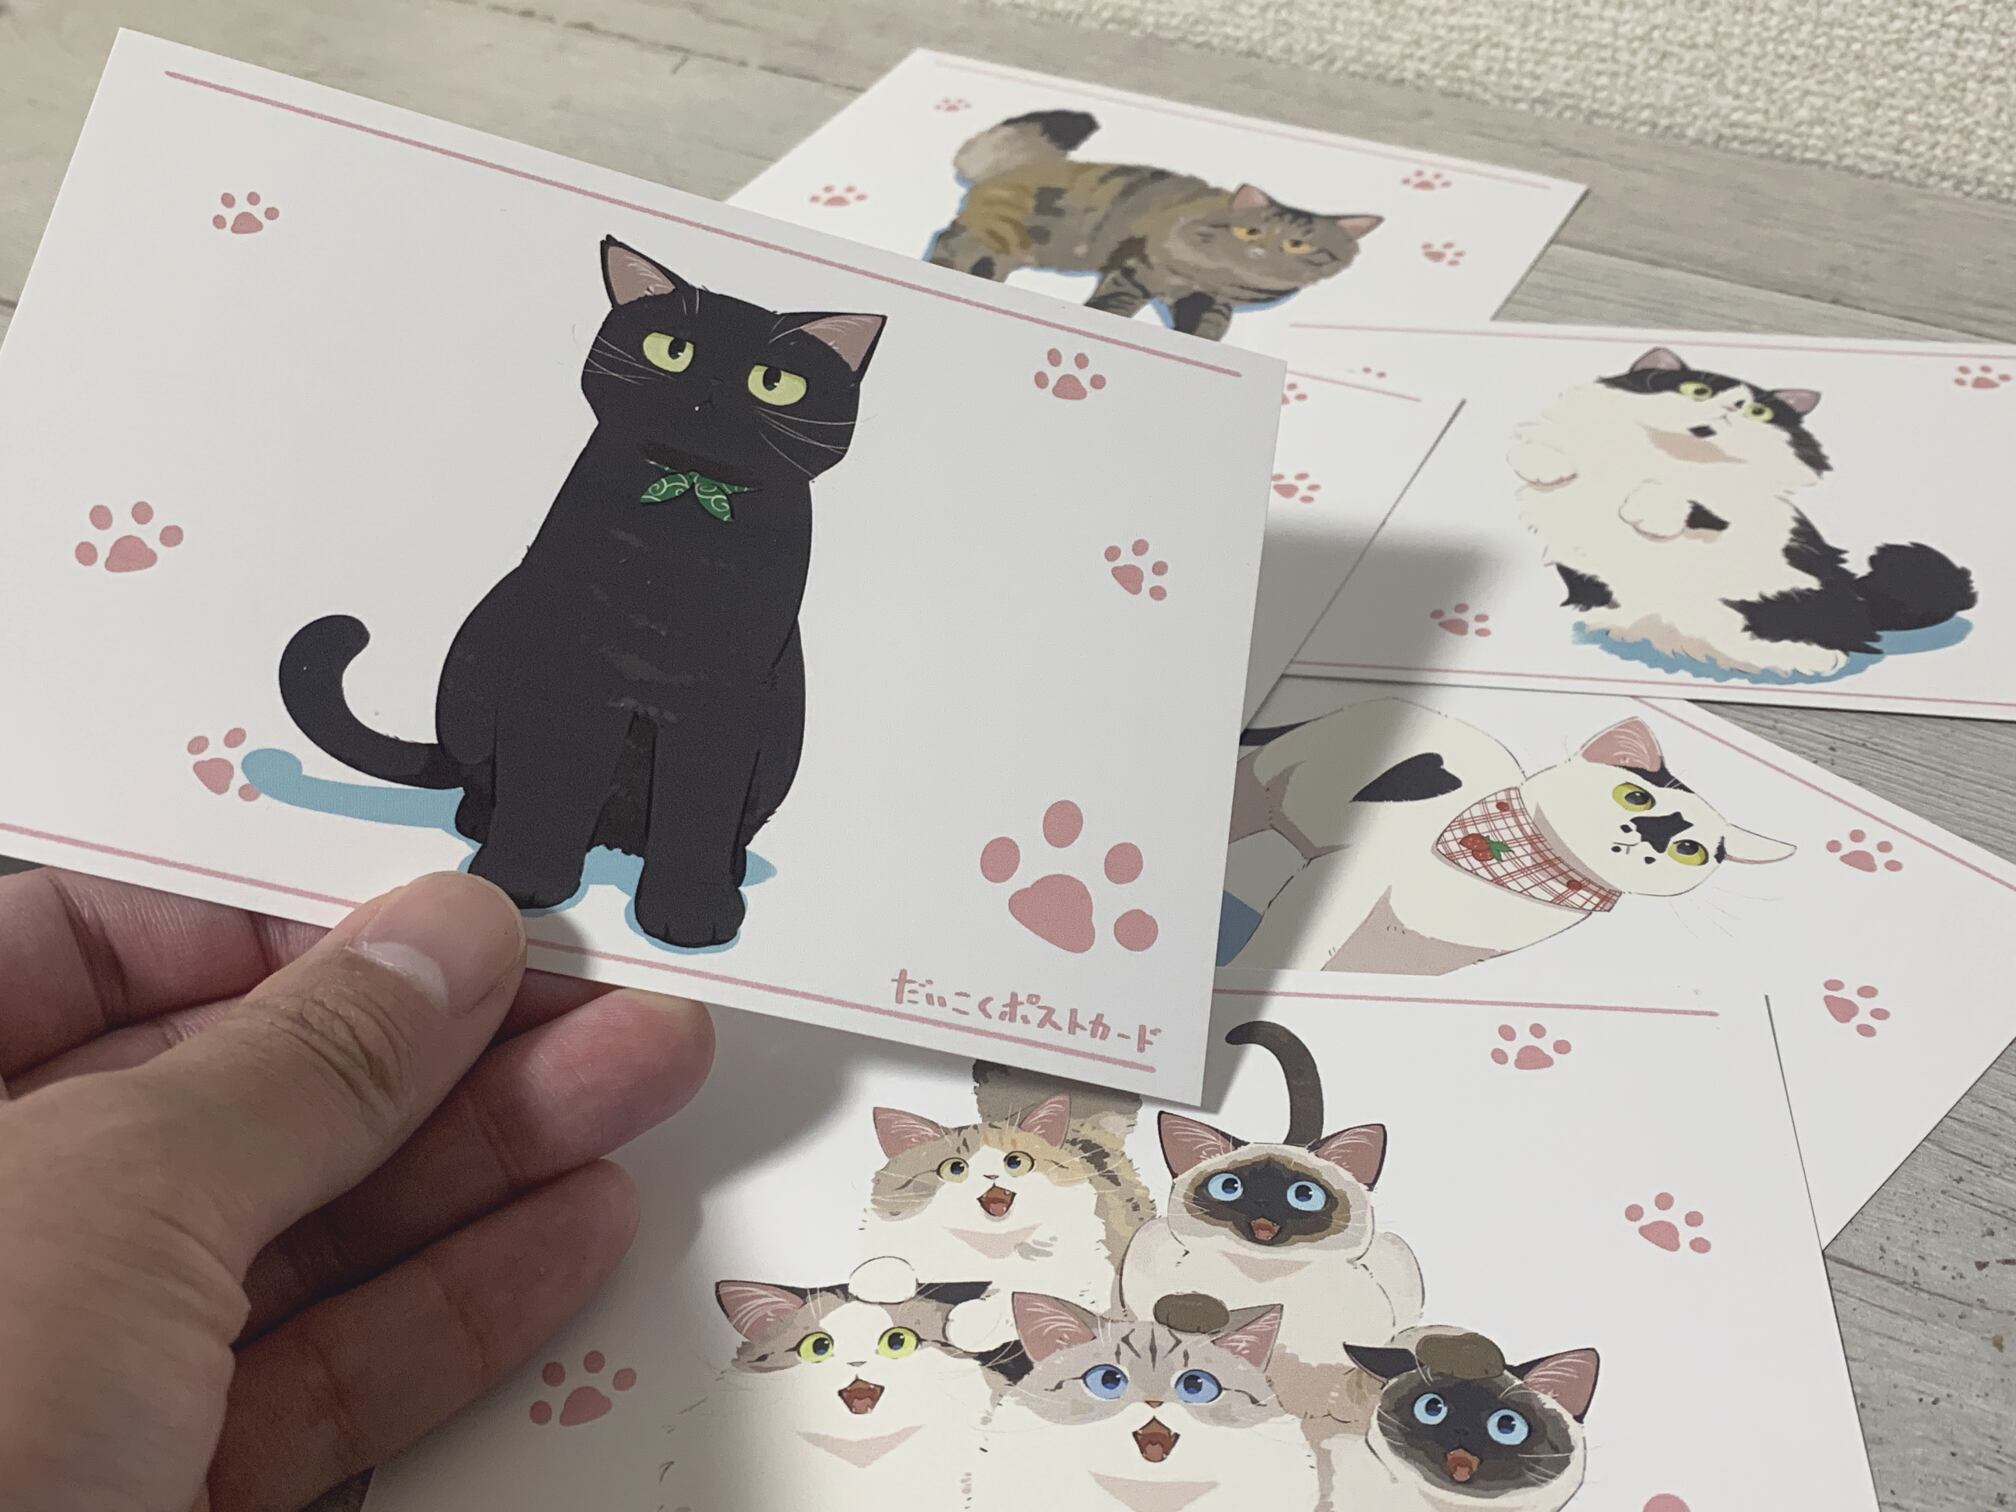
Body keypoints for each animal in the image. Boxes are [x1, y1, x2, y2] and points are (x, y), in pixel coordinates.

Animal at [280, 238, 885, 947]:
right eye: (671, 349)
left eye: (774, 382)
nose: (708, 388)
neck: (678, 537)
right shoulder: (568, 674)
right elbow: (552, 782)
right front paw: (522, 881)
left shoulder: (726, 700)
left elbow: (700, 809)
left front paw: (691, 916)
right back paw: (483, 823)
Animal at [862, 1061, 1153, 1352]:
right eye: (955, 1168)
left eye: (1016, 1161)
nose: (991, 1175)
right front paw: (883, 1275)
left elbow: (1032, 1295)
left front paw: (975, 1320)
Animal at [928, 111, 1383, 341]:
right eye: (1250, 232)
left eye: (1297, 245)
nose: (1260, 249)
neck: (1221, 274)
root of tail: (1023, 164)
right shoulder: (1137, 267)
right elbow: (1114, 304)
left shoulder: (1210, 299)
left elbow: (1207, 327)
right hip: (1007, 231)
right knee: (950, 243)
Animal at [1225, 698, 1795, 974]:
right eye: (1635, 797)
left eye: (1689, 850)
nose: (1650, 835)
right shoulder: (1351, 878)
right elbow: (1293, 947)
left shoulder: (1426, 955)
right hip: (1270, 779)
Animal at [1510, 345, 1976, 679]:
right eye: (1697, 391)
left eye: (1759, 411)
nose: (1730, 410)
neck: (1670, 457)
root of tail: (1859, 600)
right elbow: (1551, 449)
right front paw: (1544, 463)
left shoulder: (1739, 512)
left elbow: (1695, 500)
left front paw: (1648, 510)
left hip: (1776, 596)